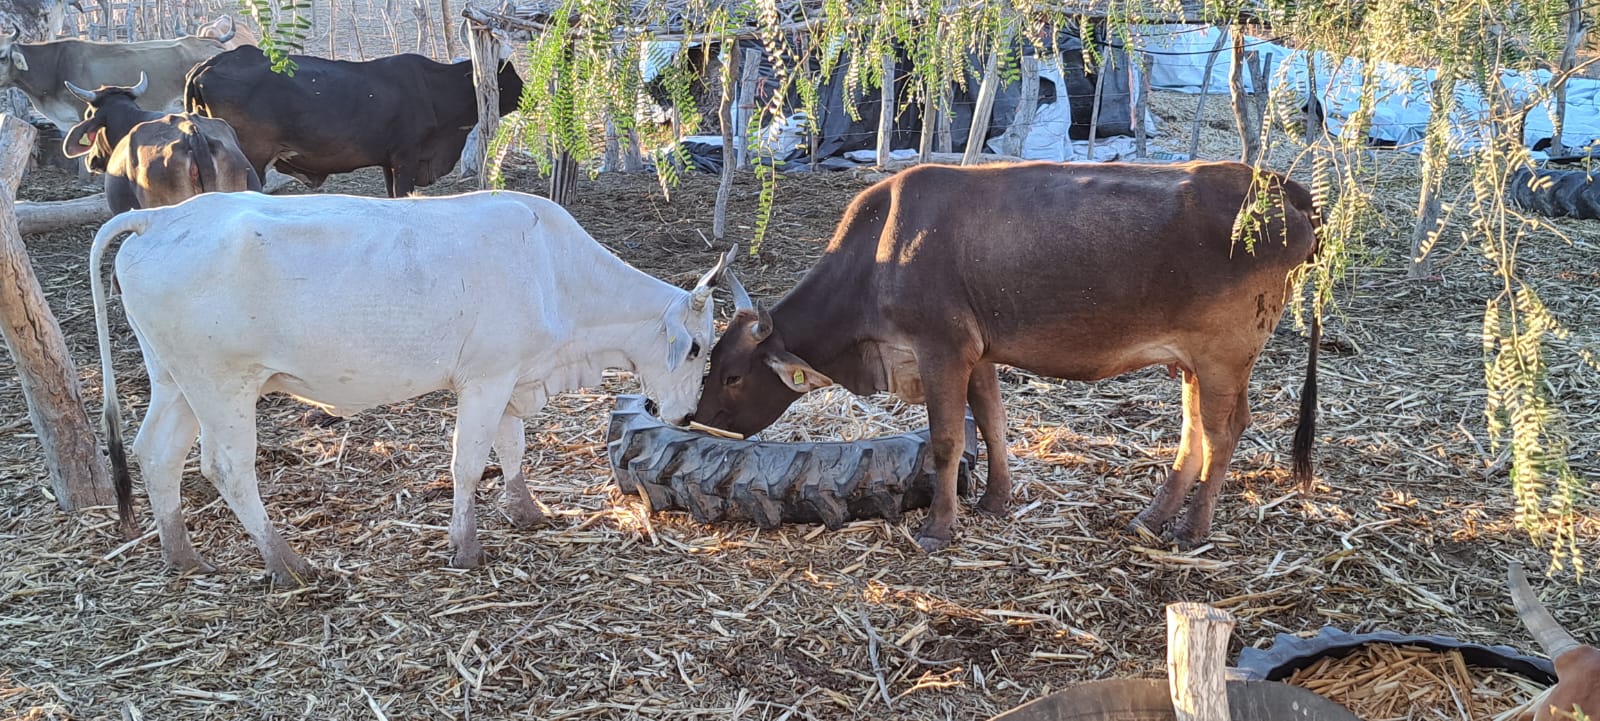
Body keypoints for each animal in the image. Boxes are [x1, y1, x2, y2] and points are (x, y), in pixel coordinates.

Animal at [90, 191, 735, 586]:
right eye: (697, 348)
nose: (683, 415)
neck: (559, 276)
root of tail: (161, 216)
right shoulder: (486, 378)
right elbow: (469, 462)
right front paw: (466, 547)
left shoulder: (511, 375)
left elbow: (513, 447)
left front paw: (527, 510)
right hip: (222, 383)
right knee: (225, 467)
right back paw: (287, 562)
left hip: (175, 380)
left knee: (157, 453)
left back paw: (182, 554)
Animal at [184, 46, 524, 197]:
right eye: (507, 76)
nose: (528, 91)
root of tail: (209, 63)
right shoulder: (406, 157)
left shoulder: (389, 161)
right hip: (251, 161)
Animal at [694, 160, 1321, 552]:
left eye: (732, 376)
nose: (696, 422)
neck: (878, 255)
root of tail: (1276, 184)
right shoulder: (982, 355)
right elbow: (993, 423)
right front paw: (995, 501)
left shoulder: (942, 350)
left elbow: (947, 442)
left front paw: (939, 527)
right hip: (1194, 362)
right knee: (1196, 433)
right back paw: (1153, 516)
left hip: (1223, 357)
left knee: (1222, 434)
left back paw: (1191, 528)